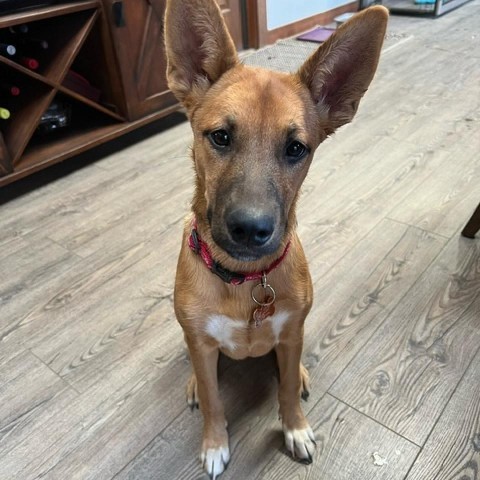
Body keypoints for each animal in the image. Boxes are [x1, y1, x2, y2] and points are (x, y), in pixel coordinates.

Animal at [163, 2, 388, 476]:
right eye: (220, 136)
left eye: (296, 148)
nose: (251, 229)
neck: (244, 279)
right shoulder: (203, 344)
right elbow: (213, 398)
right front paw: (214, 443)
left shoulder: (289, 335)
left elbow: (283, 390)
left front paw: (295, 427)